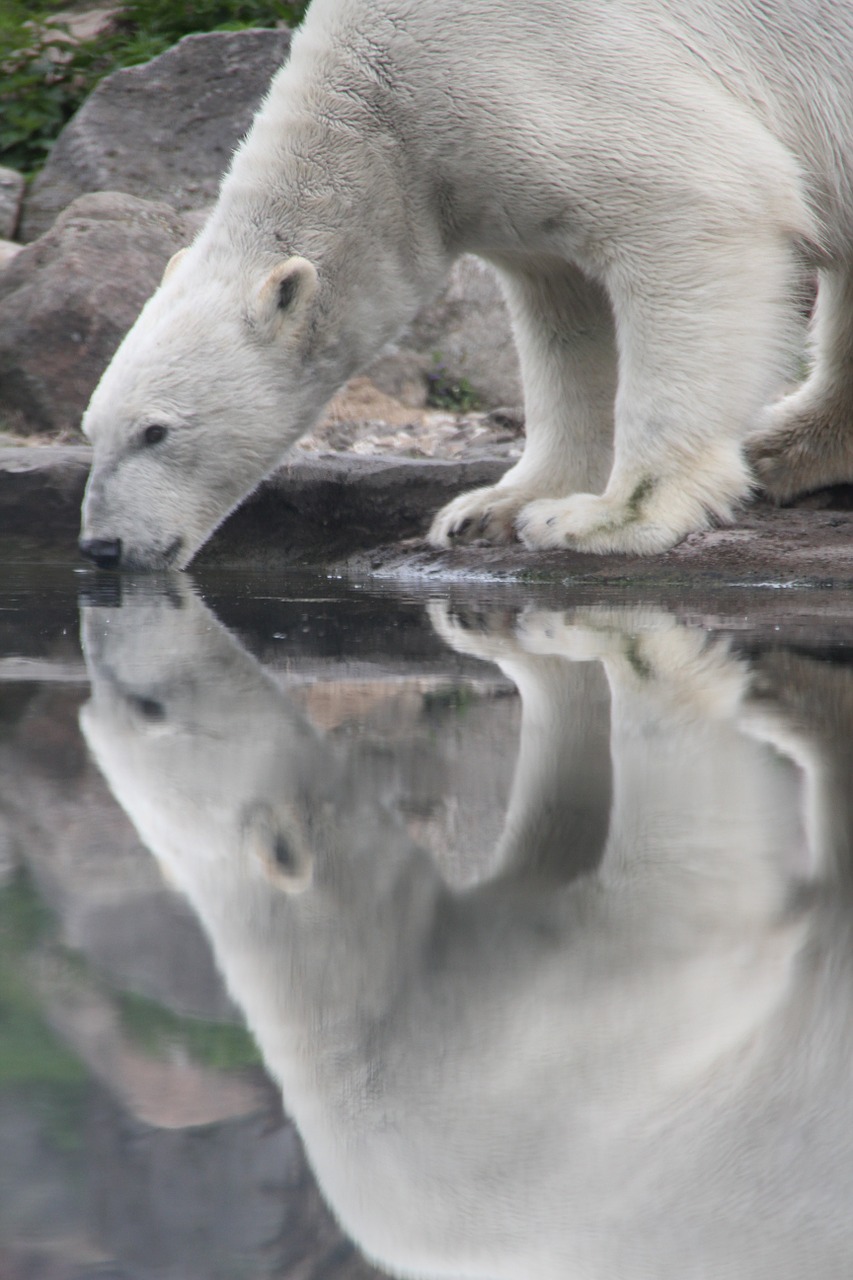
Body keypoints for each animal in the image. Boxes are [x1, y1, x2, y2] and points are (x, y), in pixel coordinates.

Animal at [78, 0, 850, 570]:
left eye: (155, 431)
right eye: (92, 431)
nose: (102, 548)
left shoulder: (544, 74)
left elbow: (695, 207)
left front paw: (602, 518)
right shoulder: (484, 174)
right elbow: (565, 316)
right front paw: (492, 508)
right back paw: (787, 448)